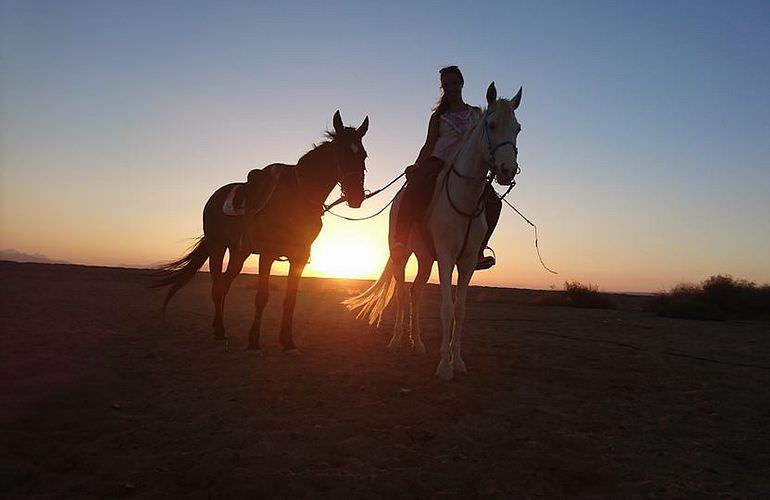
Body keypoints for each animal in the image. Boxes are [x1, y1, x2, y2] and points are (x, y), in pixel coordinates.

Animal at [154, 111, 368, 350]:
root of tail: (214, 198)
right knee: (217, 286)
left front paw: (287, 340)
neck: (298, 197)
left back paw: (220, 328)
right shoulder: (267, 254)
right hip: (218, 247)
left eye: (363, 155)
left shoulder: (299, 257)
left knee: (225, 284)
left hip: (239, 253)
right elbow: (262, 296)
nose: (356, 196)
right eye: (340, 153)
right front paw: (254, 339)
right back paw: (219, 330)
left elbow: (290, 298)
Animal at [344, 83, 520, 378]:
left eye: (517, 128)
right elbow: (446, 309)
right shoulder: (447, 258)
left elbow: (460, 310)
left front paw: (457, 361)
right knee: (402, 292)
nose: (507, 170)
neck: (464, 197)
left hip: (426, 259)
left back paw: (417, 344)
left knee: (415, 291)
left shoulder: (467, 261)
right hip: (402, 256)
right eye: (492, 125)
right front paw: (444, 366)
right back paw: (396, 341)